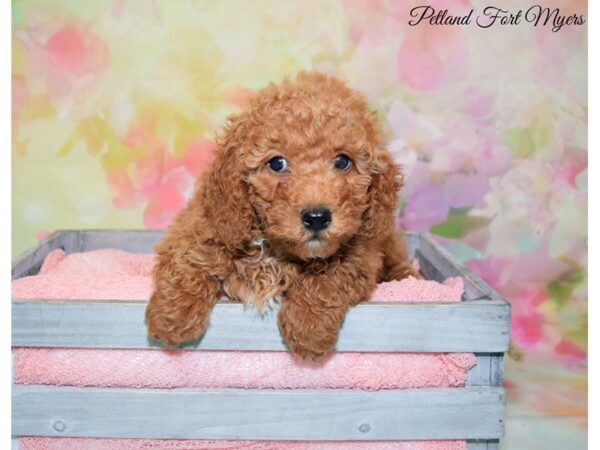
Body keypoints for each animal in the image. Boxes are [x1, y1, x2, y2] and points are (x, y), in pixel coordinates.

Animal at [145, 72, 418, 360]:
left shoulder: (360, 256)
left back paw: (406, 275)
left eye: (343, 161)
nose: (317, 217)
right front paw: (173, 319)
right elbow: (189, 261)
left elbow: (328, 280)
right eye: (277, 163)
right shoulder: (199, 225)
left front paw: (309, 327)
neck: (275, 248)